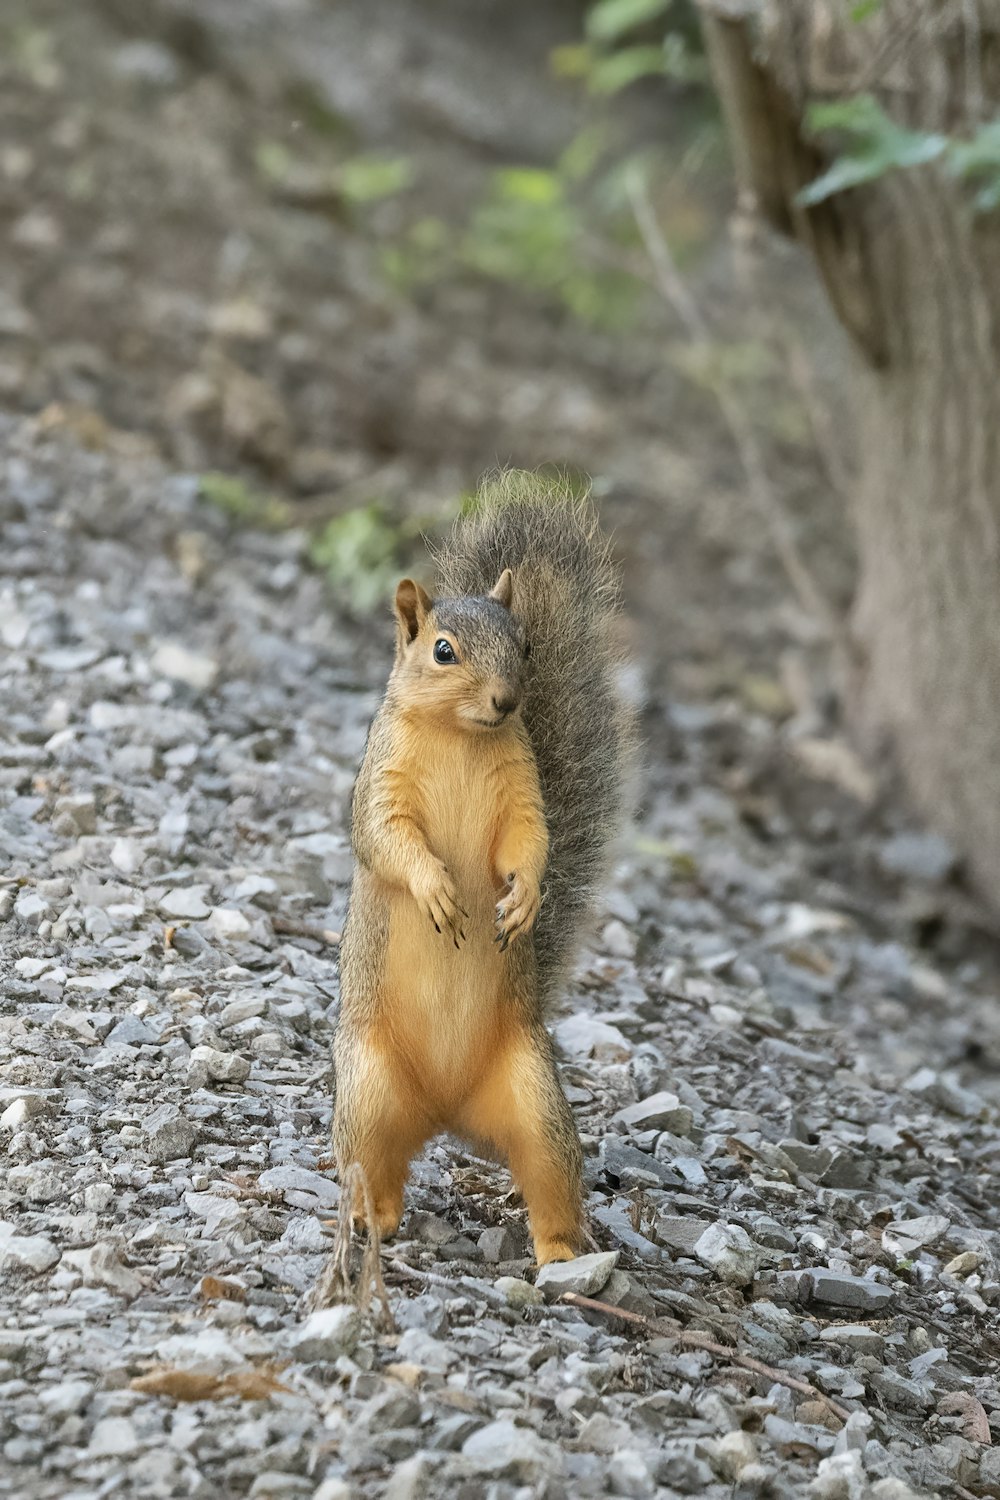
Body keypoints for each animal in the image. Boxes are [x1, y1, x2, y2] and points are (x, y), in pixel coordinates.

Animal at [335, 468, 632, 1266]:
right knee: (375, 1169)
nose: (506, 700)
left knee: (549, 1176)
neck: (461, 738)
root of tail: (446, 1112)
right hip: (367, 1093)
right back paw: (371, 1220)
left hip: (536, 1102)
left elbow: (529, 843)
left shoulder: (522, 794)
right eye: (443, 651)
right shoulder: (382, 784)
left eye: (526, 645)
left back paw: (563, 1253)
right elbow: (387, 839)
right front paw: (436, 889)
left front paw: (523, 900)